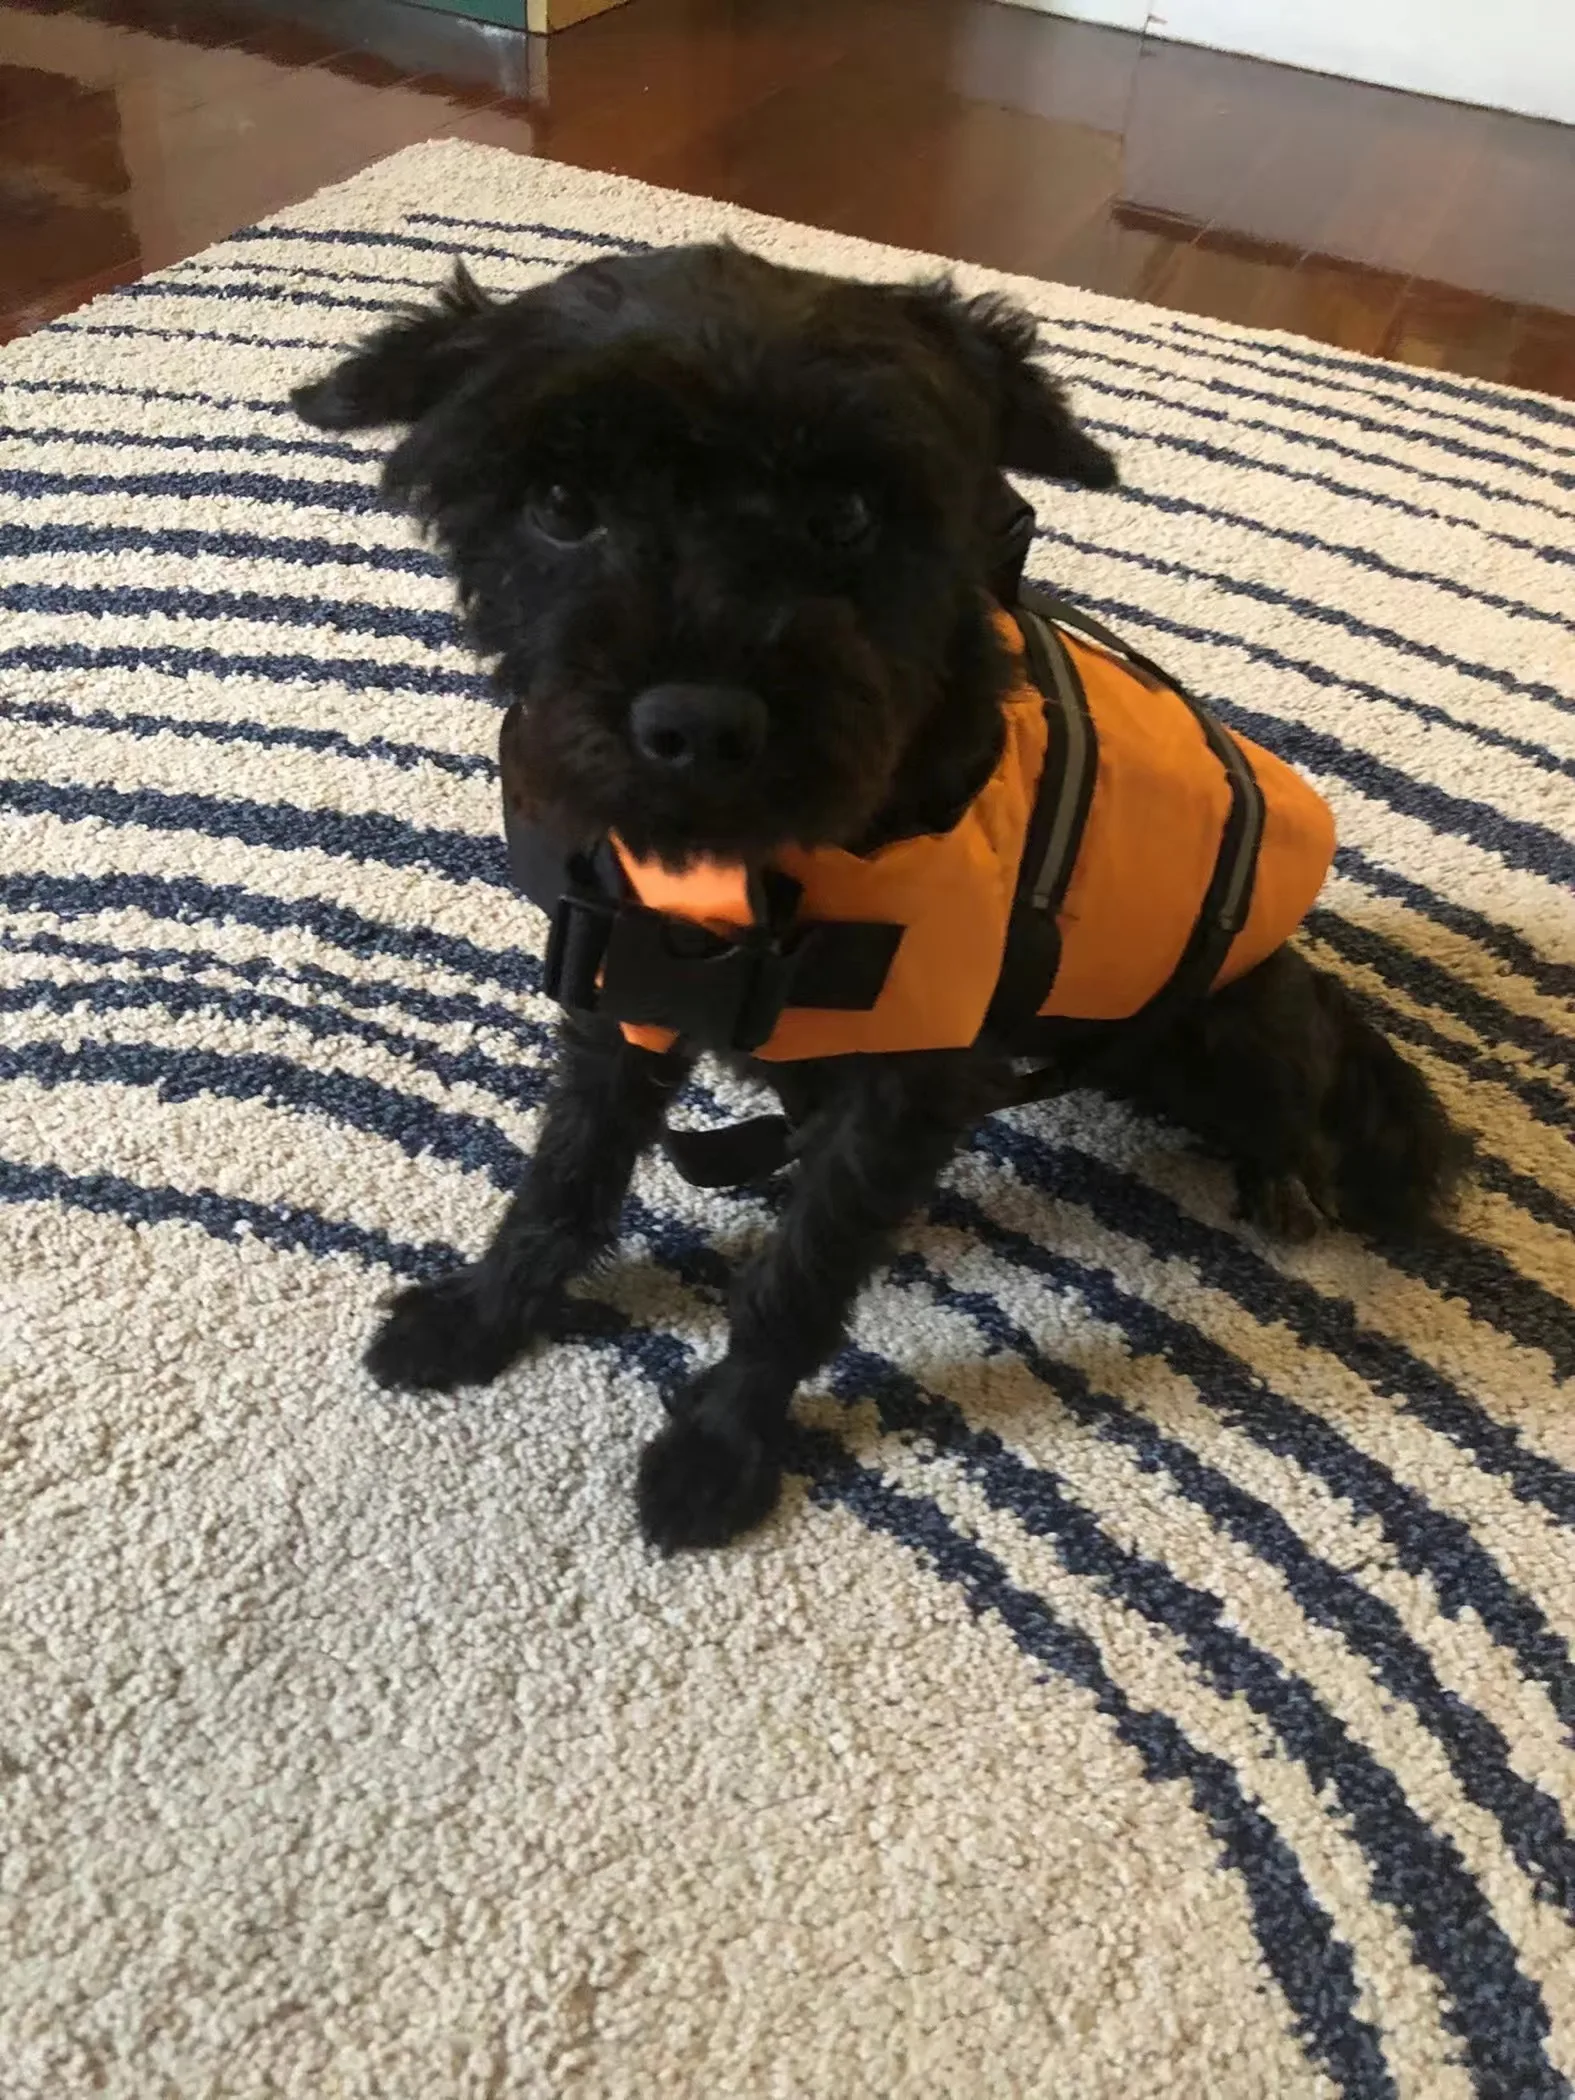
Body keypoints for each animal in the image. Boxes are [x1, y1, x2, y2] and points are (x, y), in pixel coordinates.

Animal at [292, 244, 1460, 1552]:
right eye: (558, 504)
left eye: (847, 513)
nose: (696, 726)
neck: (769, 878)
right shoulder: (624, 990)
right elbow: (564, 1179)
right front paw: (483, 1314)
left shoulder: (906, 1087)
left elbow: (797, 1279)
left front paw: (722, 1450)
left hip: (1223, 1032)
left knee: (1301, 1100)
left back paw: (1287, 1181)